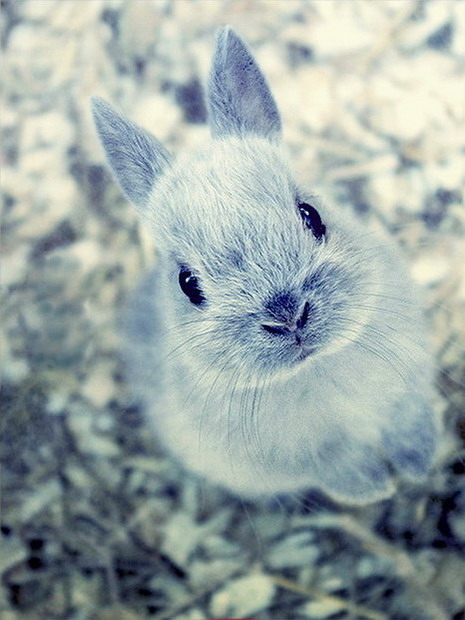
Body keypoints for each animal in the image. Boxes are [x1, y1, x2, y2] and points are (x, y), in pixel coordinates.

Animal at [92, 27, 439, 504]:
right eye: (187, 283)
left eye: (311, 215)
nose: (288, 317)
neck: (317, 366)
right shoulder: (312, 455)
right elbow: (340, 466)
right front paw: (376, 491)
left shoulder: (406, 392)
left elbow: (408, 428)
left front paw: (421, 465)